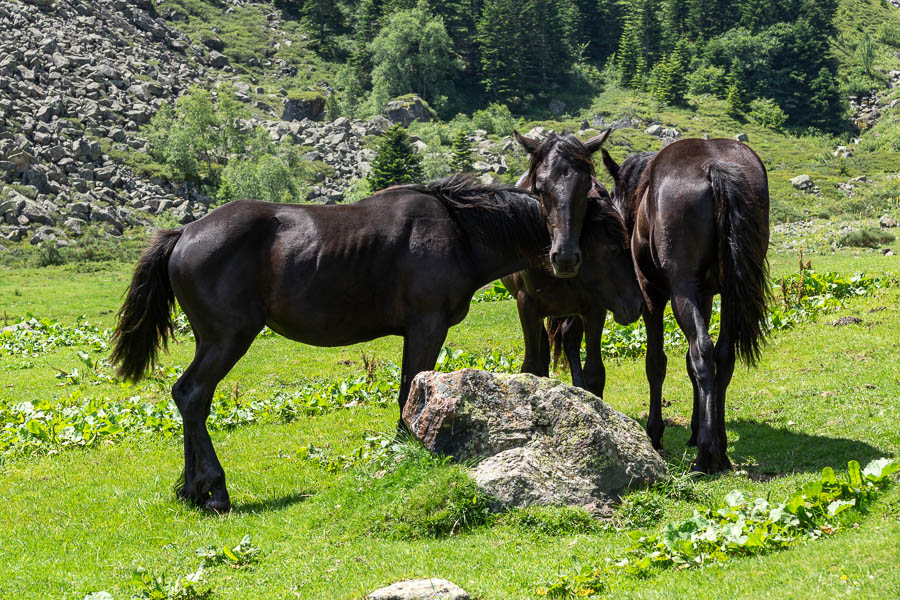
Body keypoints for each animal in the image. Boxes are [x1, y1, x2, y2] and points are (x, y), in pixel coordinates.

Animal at [112, 130, 604, 510]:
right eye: (541, 187)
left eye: (586, 187)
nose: (564, 256)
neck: (459, 229)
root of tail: (184, 233)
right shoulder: (426, 327)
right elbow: (409, 391)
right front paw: (406, 452)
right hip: (227, 339)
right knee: (192, 395)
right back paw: (214, 490)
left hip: (211, 342)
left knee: (190, 399)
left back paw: (191, 490)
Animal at [502, 176, 644, 396]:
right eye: (612, 249)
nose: (637, 305)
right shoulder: (527, 306)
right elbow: (531, 368)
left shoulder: (594, 309)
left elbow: (594, 373)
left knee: (570, 341)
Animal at [588, 138, 768, 472]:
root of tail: (714, 165)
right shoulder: (706, 296)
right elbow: (689, 362)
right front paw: (696, 430)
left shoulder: (652, 297)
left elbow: (656, 363)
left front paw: (655, 434)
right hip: (726, 294)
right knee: (721, 356)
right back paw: (720, 447)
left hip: (680, 291)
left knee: (703, 352)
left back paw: (707, 455)